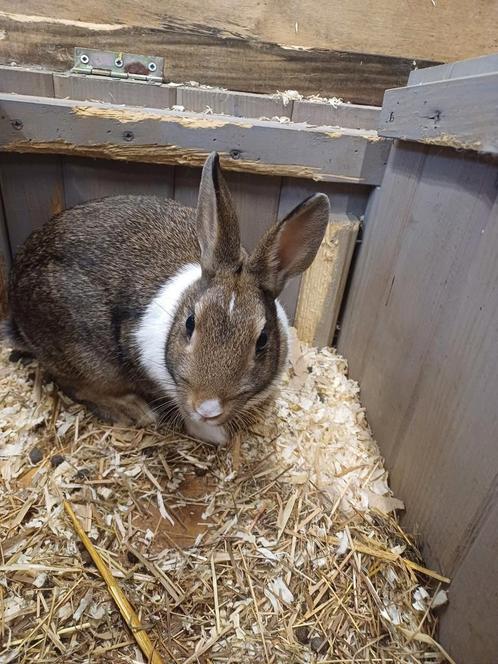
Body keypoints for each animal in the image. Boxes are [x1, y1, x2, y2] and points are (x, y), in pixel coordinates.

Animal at [8, 153, 330, 444]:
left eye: (262, 340)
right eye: (190, 323)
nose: (208, 407)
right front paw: (216, 435)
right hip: (84, 357)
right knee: (72, 384)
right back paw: (136, 410)